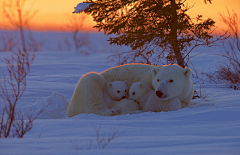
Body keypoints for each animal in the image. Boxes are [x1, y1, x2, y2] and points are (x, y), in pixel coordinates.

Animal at [66, 63, 194, 117]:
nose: (159, 92)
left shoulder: (186, 97)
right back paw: (112, 111)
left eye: (171, 80)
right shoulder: (146, 79)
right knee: (92, 82)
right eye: (158, 79)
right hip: (86, 88)